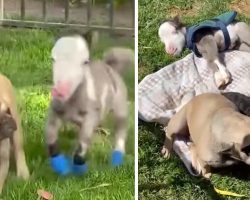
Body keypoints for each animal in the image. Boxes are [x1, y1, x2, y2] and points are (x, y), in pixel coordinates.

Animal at [45, 31, 135, 175]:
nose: (61, 91)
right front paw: (61, 167)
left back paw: (117, 160)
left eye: (85, 61)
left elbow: (83, 141)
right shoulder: (54, 112)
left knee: (121, 131)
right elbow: (50, 136)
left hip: (120, 108)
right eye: (52, 59)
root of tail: (109, 67)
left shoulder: (91, 115)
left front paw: (79, 168)